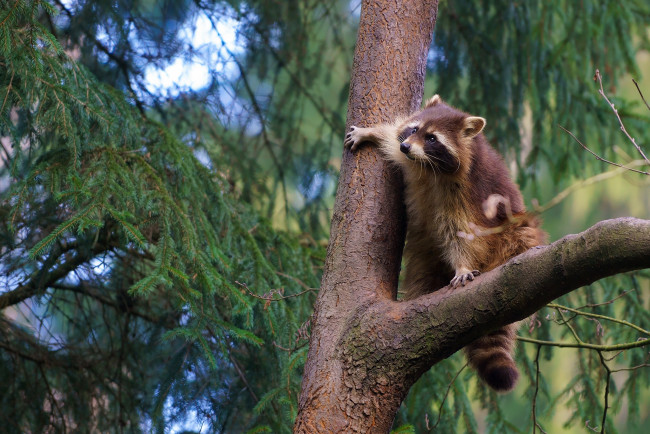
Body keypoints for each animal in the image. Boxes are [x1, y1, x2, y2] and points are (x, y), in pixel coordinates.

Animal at [342, 95, 544, 394]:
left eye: (432, 138)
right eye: (414, 130)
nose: (406, 146)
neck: (427, 166)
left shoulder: (464, 191)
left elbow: (462, 232)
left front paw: (462, 266)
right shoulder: (411, 158)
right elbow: (391, 138)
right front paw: (374, 132)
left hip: (515, 236)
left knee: (519, 236)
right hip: (427, 258)